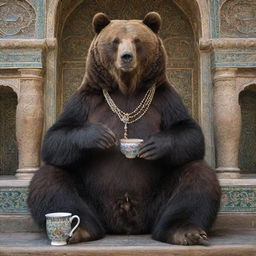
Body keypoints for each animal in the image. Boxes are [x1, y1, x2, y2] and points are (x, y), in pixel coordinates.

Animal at [27, 12, 220, 246]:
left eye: (137, 40)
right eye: (115, 41)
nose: (126, 57)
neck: (126, 87)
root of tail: (126, 222)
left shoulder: (165, 99)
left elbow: (189, 132)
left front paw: (152, 145)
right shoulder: (86, 100)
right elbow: (56, 137)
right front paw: (100, 136)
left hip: (156, 199)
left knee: (197, 178)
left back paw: (186, 231)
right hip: (92, 197)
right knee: (50, 178)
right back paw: (81, 229)